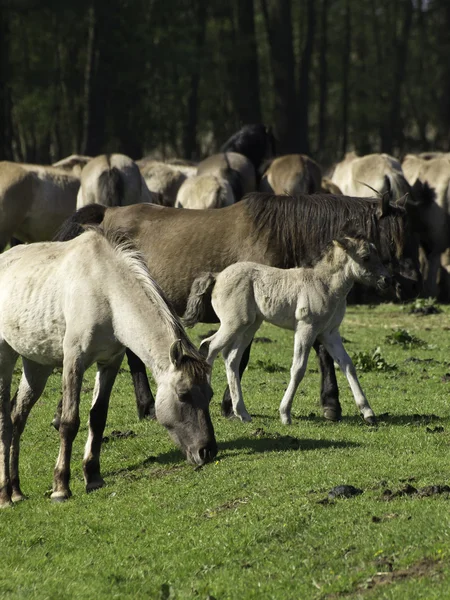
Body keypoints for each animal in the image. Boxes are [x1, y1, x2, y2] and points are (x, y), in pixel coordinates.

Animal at [53, 192, 422, 426]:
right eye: (393, 240)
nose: (409, 285)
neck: (280, 233)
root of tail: (106, 214)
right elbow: (250, 359)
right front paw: (232, 406)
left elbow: (328, 355)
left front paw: (336, 405)